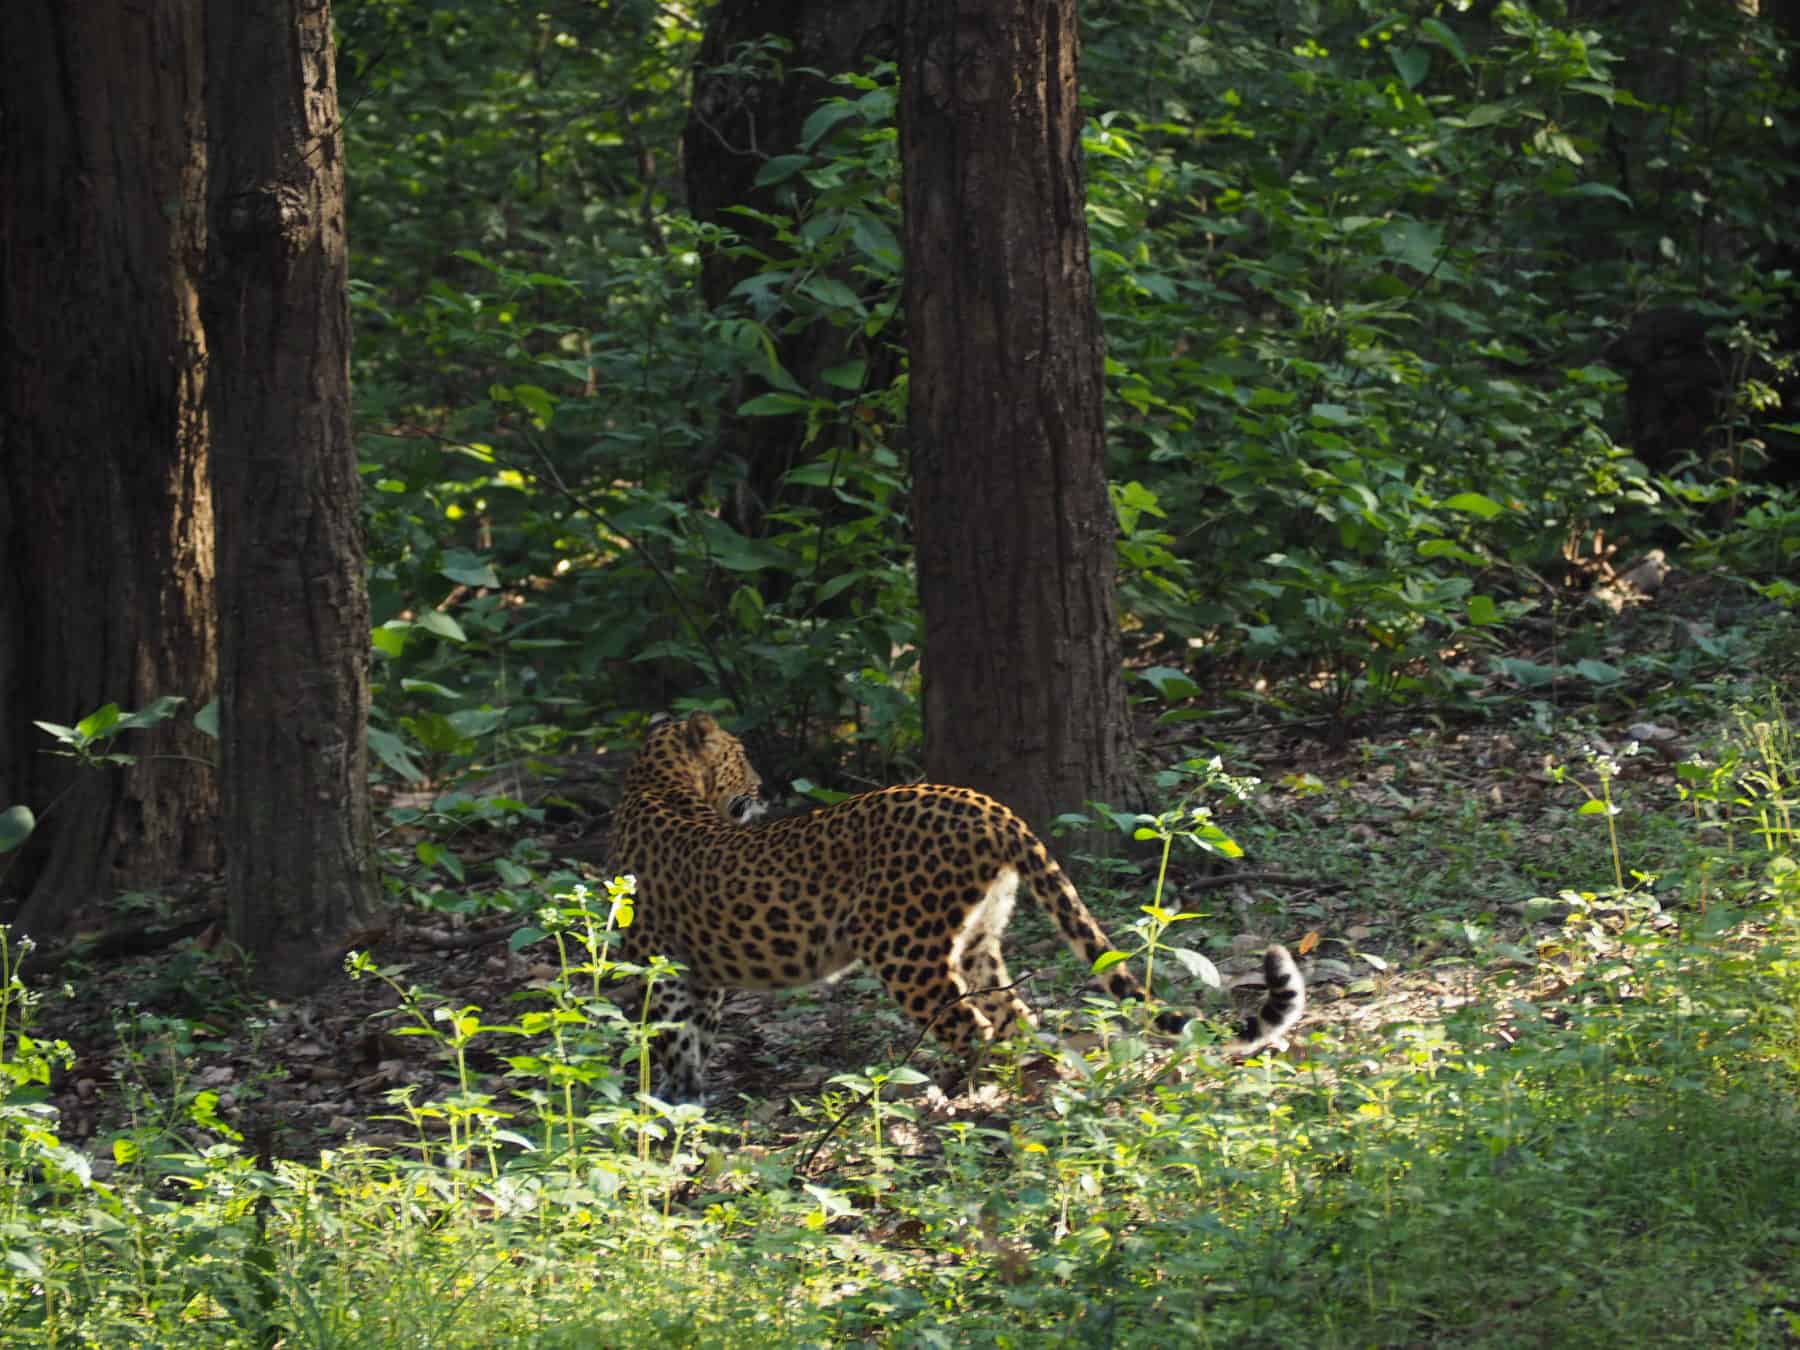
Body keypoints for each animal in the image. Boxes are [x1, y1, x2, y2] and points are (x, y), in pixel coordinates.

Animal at [608, 712, 1310, 1101]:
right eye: (741, 757)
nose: (761, 789)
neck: (655, 782)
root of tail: (987, 804)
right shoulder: (698, 974)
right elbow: (693, 1037)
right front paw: (686, 1100)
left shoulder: (657, 967)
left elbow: (666, 1036)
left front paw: (666, 1105)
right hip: (974, 941)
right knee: (1014, 1018)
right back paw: (1026, 1082)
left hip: (903, 948)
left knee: (969, 1027)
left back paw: (951, 1100)